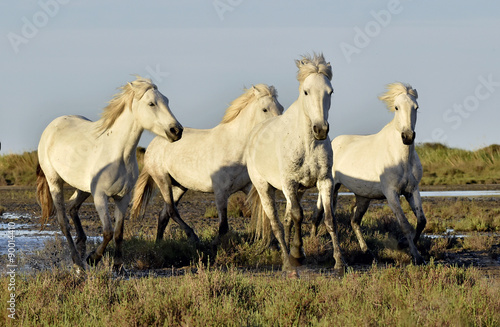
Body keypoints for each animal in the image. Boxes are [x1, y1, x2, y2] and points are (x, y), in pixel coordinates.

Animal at [37, 77, 183, 270]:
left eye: (166, 100)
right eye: (151, 103)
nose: (177, 131)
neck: (118, 154)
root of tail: (51, 127)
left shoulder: (123, 198)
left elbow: (118, 233)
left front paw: (118, 265)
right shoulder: (100, 196)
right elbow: (107, 231)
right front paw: (93, 258)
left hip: (83, 189)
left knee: (72, 207)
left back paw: (81, 244)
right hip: (55, 182)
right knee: (63, 223)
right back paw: (78, 261)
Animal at [131, 84, 284, 243]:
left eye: (281, 107)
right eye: (265, 109)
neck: (234, 146)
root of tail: (154, 143)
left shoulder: (248, 187)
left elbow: (268, 215)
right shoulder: (221, 192)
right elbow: (223, 227)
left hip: (180, 186)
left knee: (163, 215)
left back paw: (159, 243)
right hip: (163, 180)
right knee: (172, 211)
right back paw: (192, 236)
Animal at [245, 53, 344, 272]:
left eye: (331, 91)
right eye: (306, 92)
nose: (321, 129)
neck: (307, 144)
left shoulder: (325, 181)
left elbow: (329, 219)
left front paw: (339, 262)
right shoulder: (289, 182)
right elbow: (298, 216)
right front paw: (297, 256)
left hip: (297, 190)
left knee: (287, 218)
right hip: (265, 188)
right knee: (276, 223)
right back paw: (287, 262)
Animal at [312, 82, 426, 266]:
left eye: (416, 107)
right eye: (396, 107)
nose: (408, 136)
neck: (401, 158)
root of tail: (334, 142)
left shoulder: (412, 190)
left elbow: (421, 222)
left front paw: (404, 246)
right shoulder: (391, 193)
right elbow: (405, 224)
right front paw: (416, 256)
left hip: (363, 197)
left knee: (354, 221)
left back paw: (367, 251)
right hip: (331, 187)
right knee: (319, 214)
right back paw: (313, 239)